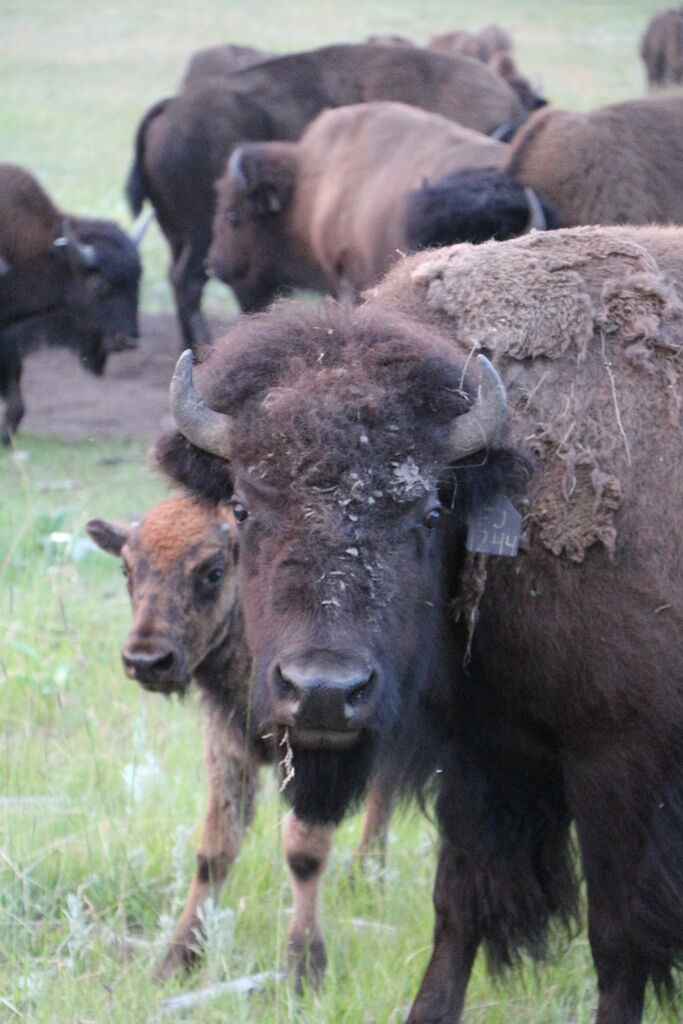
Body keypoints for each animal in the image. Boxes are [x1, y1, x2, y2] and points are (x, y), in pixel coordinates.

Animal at [156, 220, 683, 1019]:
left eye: (430, 512)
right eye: (242, 508)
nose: (322, 692)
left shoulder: (618, 760)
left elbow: (618, 939)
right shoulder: (480, 754)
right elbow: (458, 905)